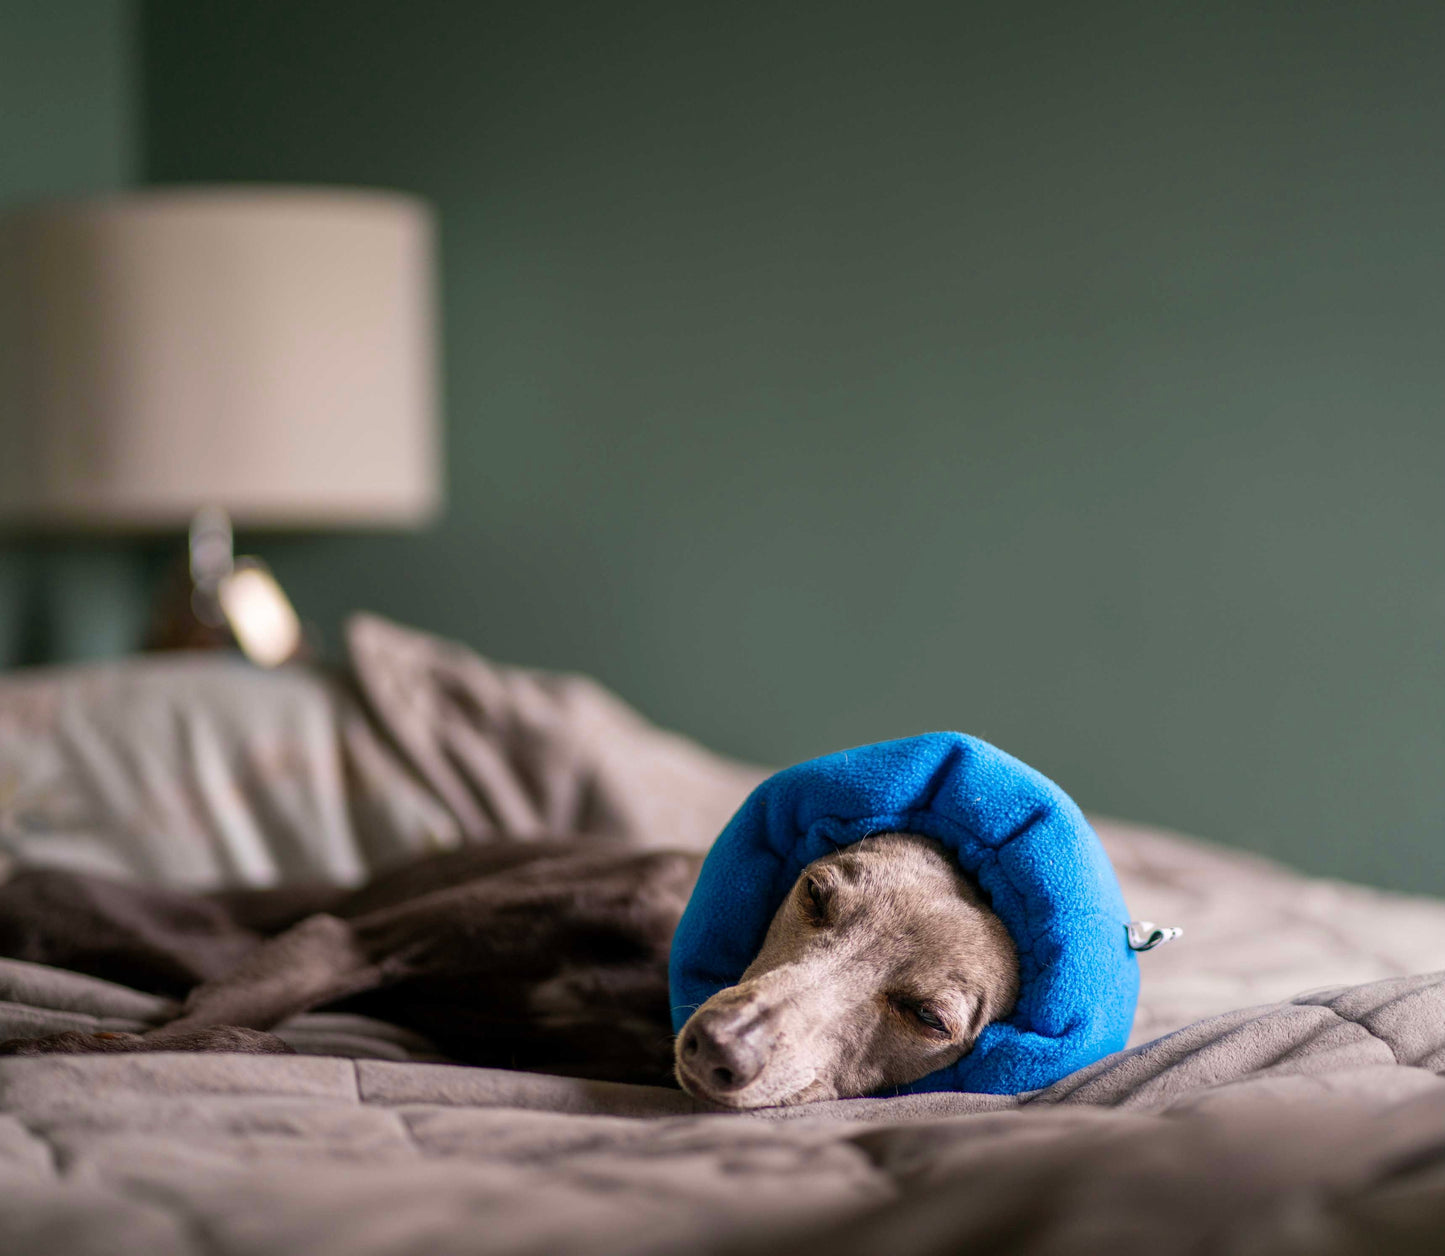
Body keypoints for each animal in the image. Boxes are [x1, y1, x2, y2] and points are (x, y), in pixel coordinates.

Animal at [0, 832, 1017, 1110]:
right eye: (813, 891)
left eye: (929, 1018)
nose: (715, 1049)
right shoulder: (342, 942)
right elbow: (211, 1030)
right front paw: (54, 1048)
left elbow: (262, 1044)